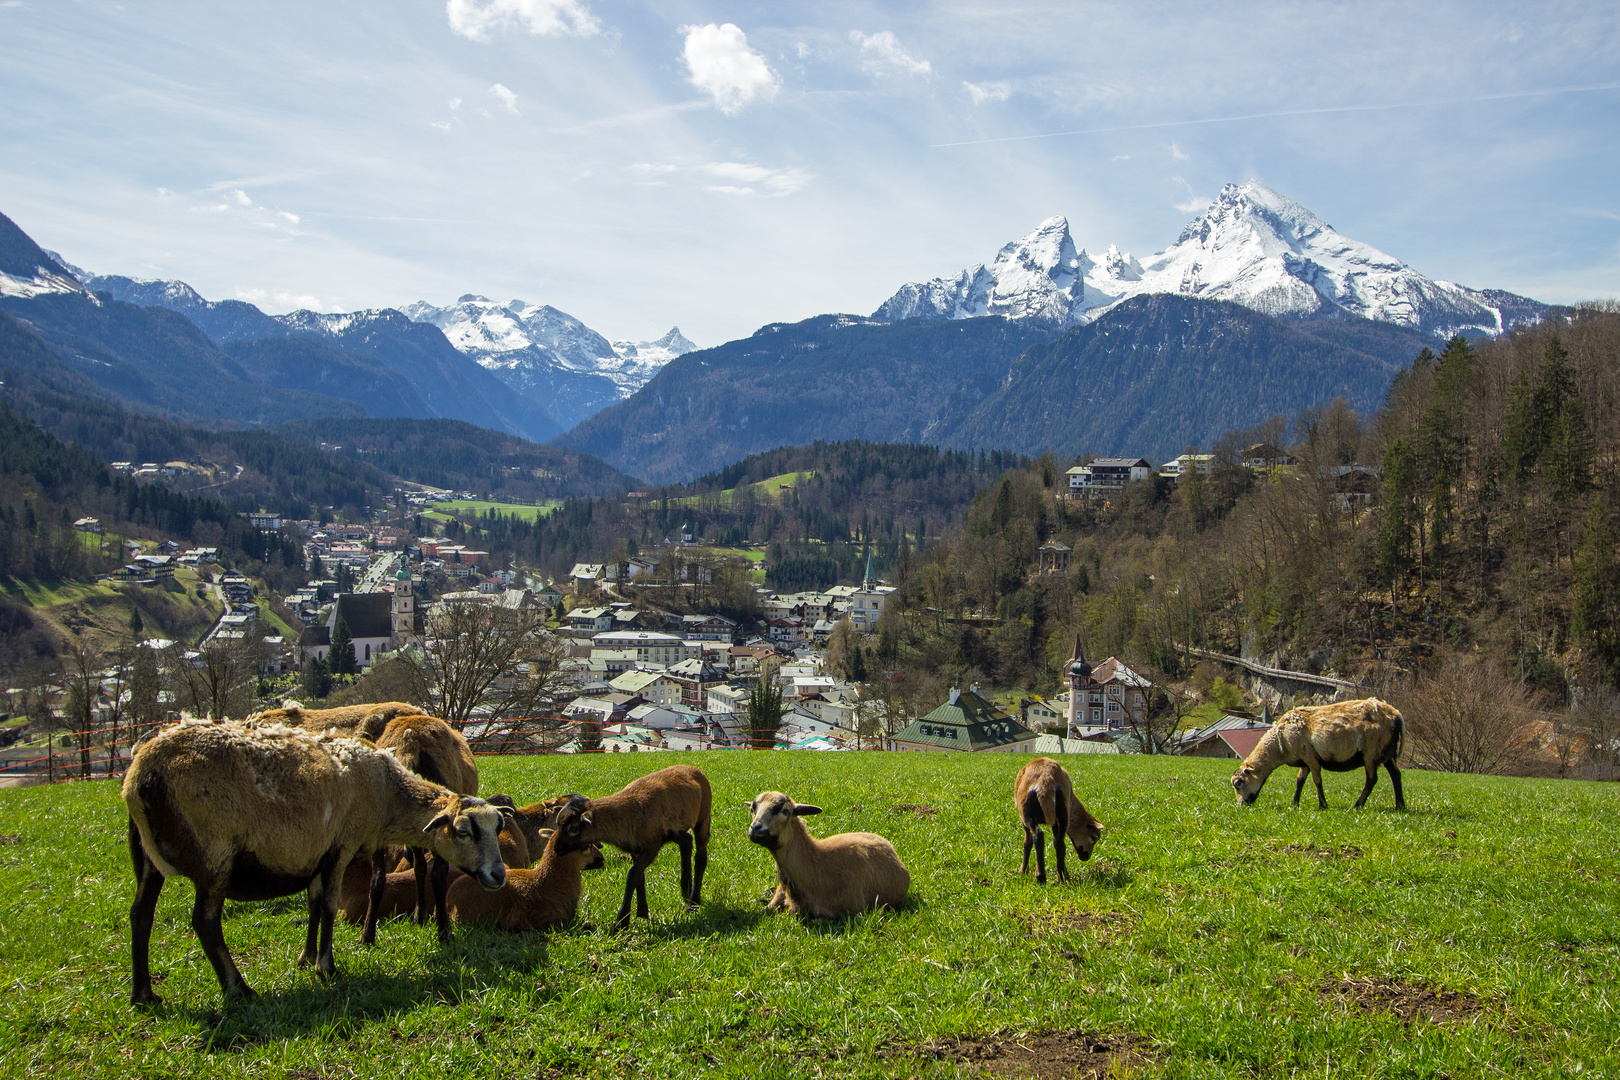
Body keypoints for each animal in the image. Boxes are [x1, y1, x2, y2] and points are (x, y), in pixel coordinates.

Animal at [122, 718, 508, 1003]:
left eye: (498, 827)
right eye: (463, 831)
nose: (498, 875)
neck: (386, 794)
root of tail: (144, 774)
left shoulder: (316, 853)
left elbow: (313, 903)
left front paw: (306, 958)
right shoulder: (341, 844)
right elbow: (329, 907)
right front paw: (327, 966)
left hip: (145, 855)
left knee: (141, 915)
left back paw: (143, 995)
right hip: (215, 853)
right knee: (205, 922)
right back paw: (239, 988)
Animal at [554, 764, 712, 932]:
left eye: (572, 827)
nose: (556, 849)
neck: (628, 811)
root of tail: (693, 768)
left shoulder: (652, 845)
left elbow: (633, 875)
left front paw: (621, 921)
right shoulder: (635, 848)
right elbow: (640, 877)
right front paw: (642, 913)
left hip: (703, 817)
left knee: (701, 857)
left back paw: (693, 903)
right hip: (675, 831)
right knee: (687, 842)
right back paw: (686, 887)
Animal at [1231, 696, 1412, 806]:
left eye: (1239, 783)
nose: (1241, 805)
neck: (1280, 742)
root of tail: (1396, 714)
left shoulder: (1311, 757)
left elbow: (1317, 781)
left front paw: (1323, 805)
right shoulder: (1303, 760)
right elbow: (1300, 781)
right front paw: (1294, 804)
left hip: (1371, 751)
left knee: (1372, 779)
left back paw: (1358, 805)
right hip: (1387, 751)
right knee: (1396, 775)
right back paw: (1400, 805)